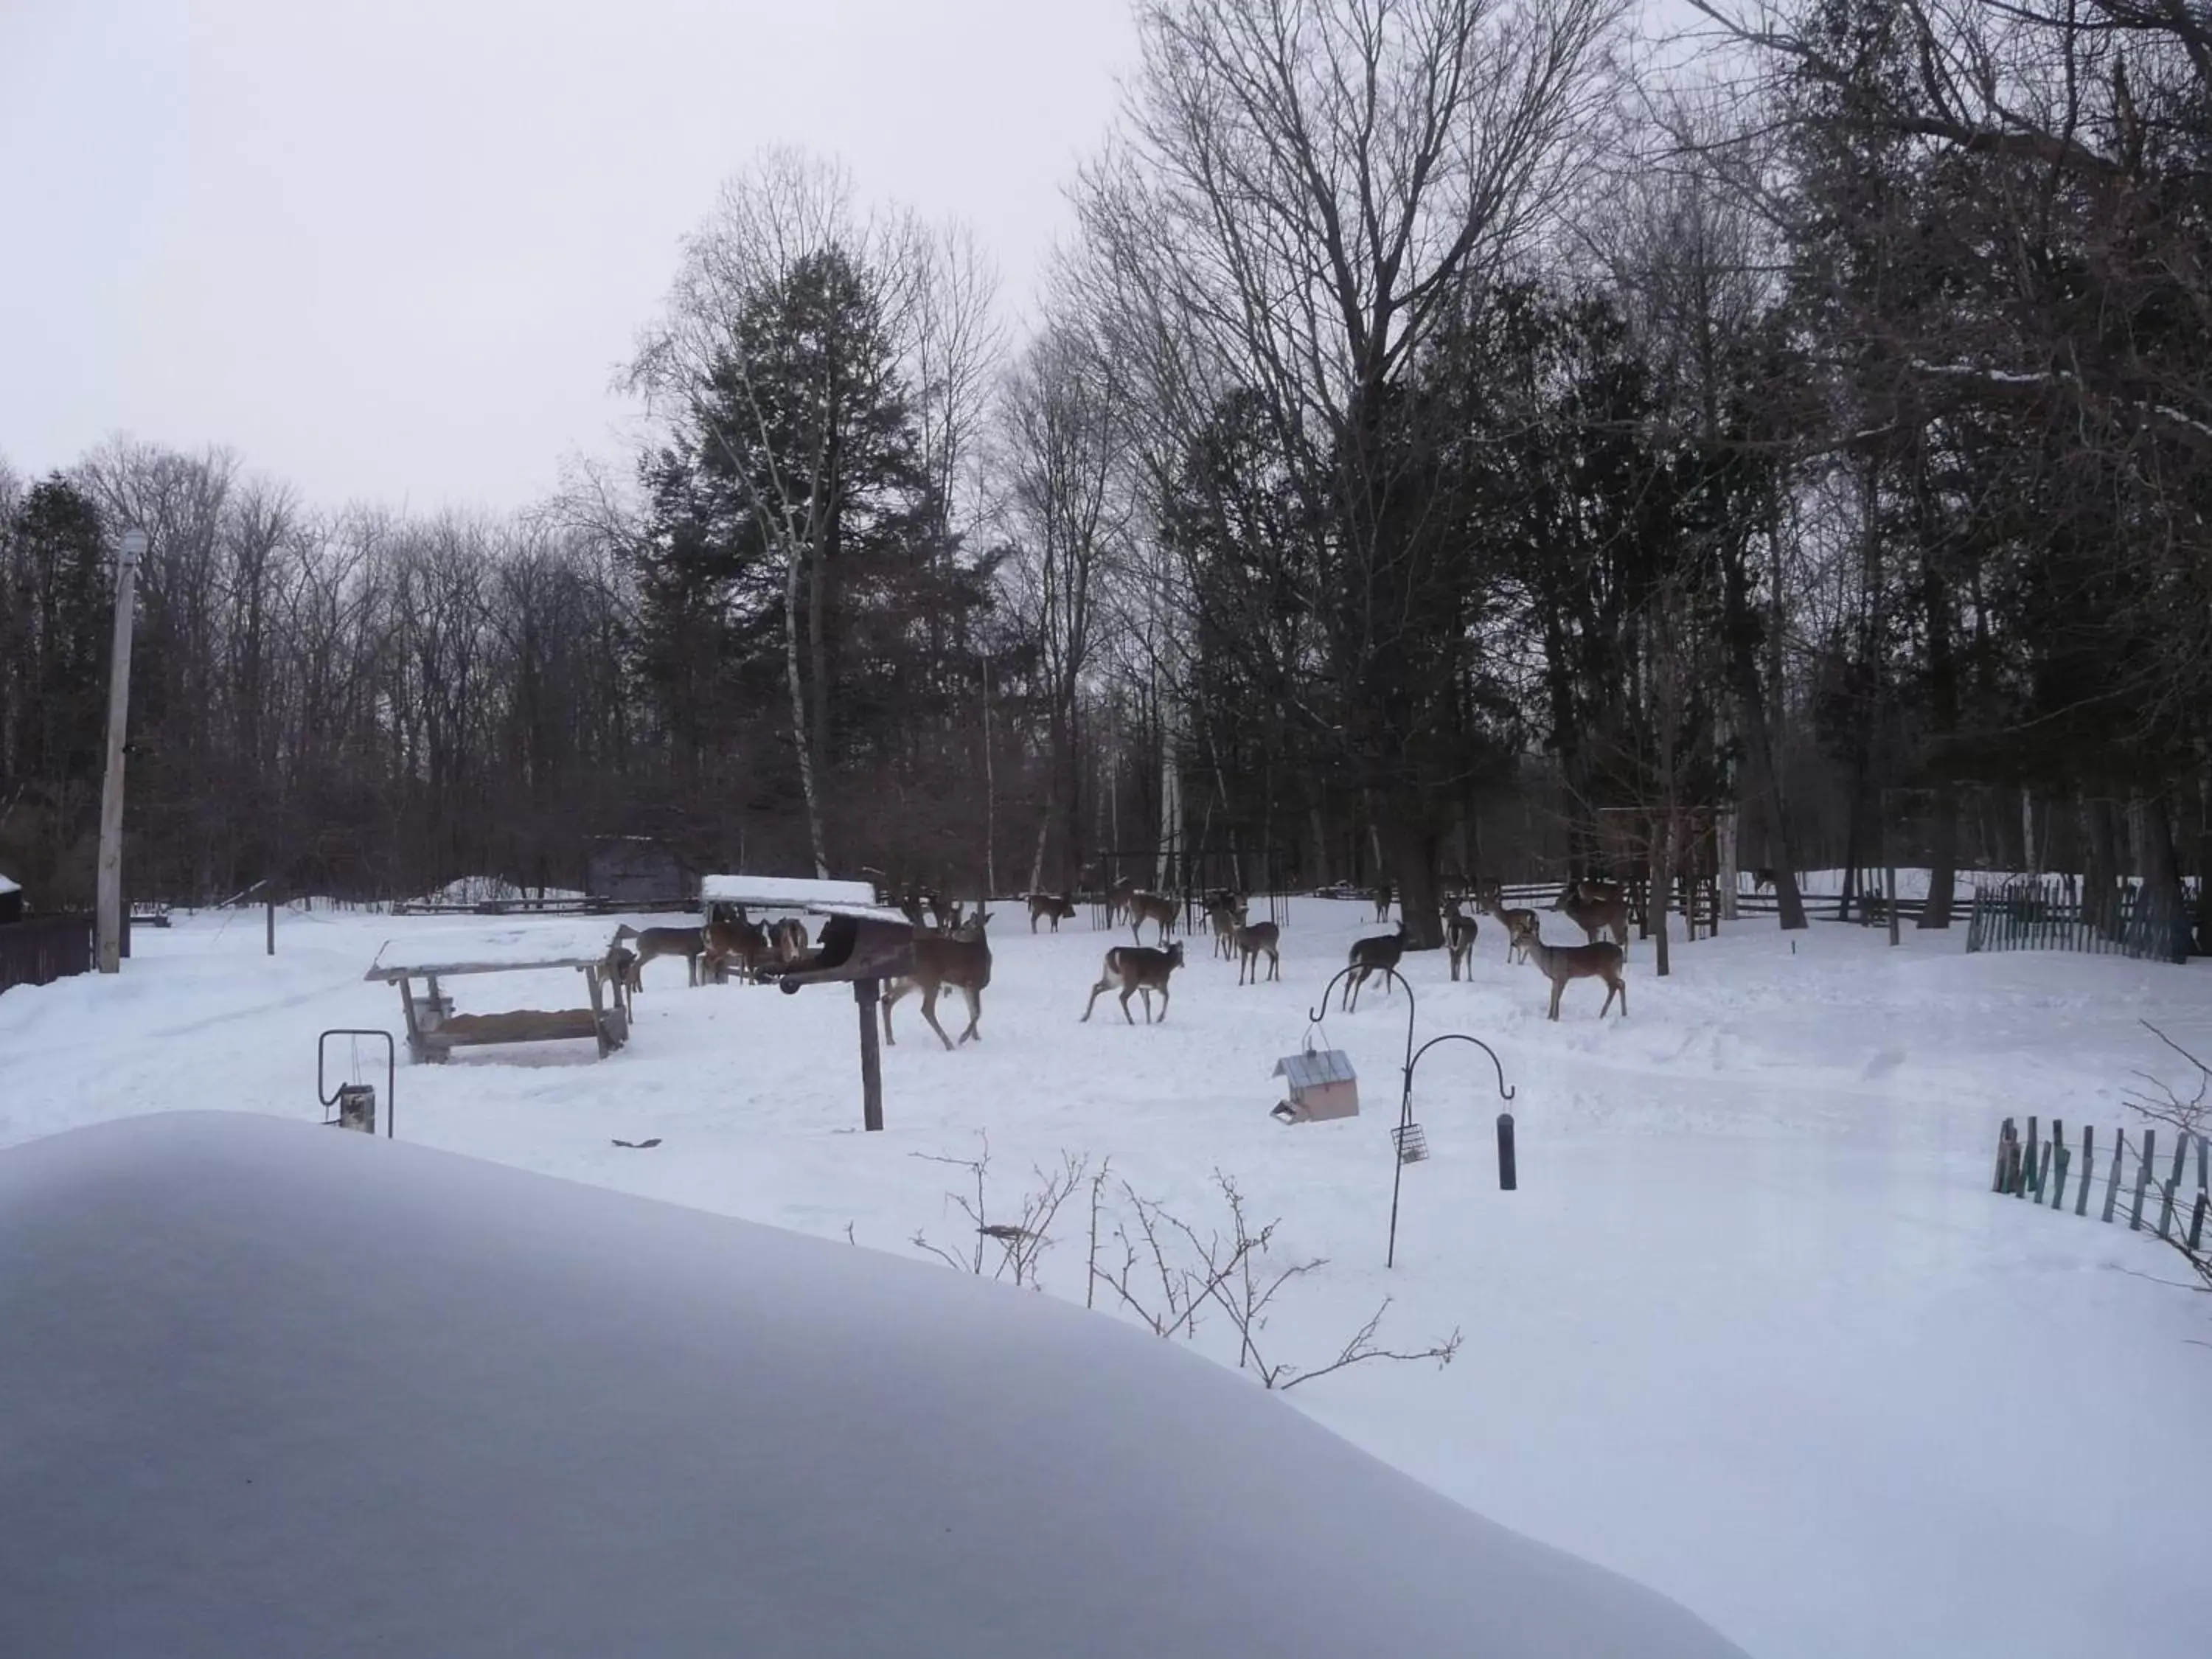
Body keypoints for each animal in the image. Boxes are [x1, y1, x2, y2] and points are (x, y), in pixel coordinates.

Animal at [880, 911, 995, 1053]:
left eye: (963, 927)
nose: (953, 933)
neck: (981, 952)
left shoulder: (965, 987)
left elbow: (972, 1011)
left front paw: (976, 1037)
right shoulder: (973, 983)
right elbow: (977, 1012)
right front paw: (963, 1038)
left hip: (909, 981)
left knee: (886, 1000)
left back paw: (890, 1040)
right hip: (931, 979)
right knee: (927, 1009)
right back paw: (949, 1044)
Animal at [1079, 942, 1186, 1035]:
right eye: (1182, 952)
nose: (1183, 964)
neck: (1168, 963)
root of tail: (1115, 953)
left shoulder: (1143, 987)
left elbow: (1147, 1003)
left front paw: (1149, 1022)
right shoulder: (1161, 983)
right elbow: (1167, 996)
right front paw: (1159, 1019)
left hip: (1113, 978)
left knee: (1096, 986)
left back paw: (1084, 1017)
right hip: (1131, 980)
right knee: (1122, 997)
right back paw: (1131, 1021)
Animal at [1504, 916, 1628, 1022]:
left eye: (1525, 937)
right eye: (1518, 935)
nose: (1513, 943)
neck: (1548, 959)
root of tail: (1620, 952)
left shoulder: (1563, 975)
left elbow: (1557, 997)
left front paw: (1555, 1018)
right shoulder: (1555, 979)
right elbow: (1553, 996)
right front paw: (1549, 1017)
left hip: (1606, 969)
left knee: (1615, 986)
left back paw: (1602, 1015)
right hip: (1610, 971)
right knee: (1622, 983)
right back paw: (1624, 1013)